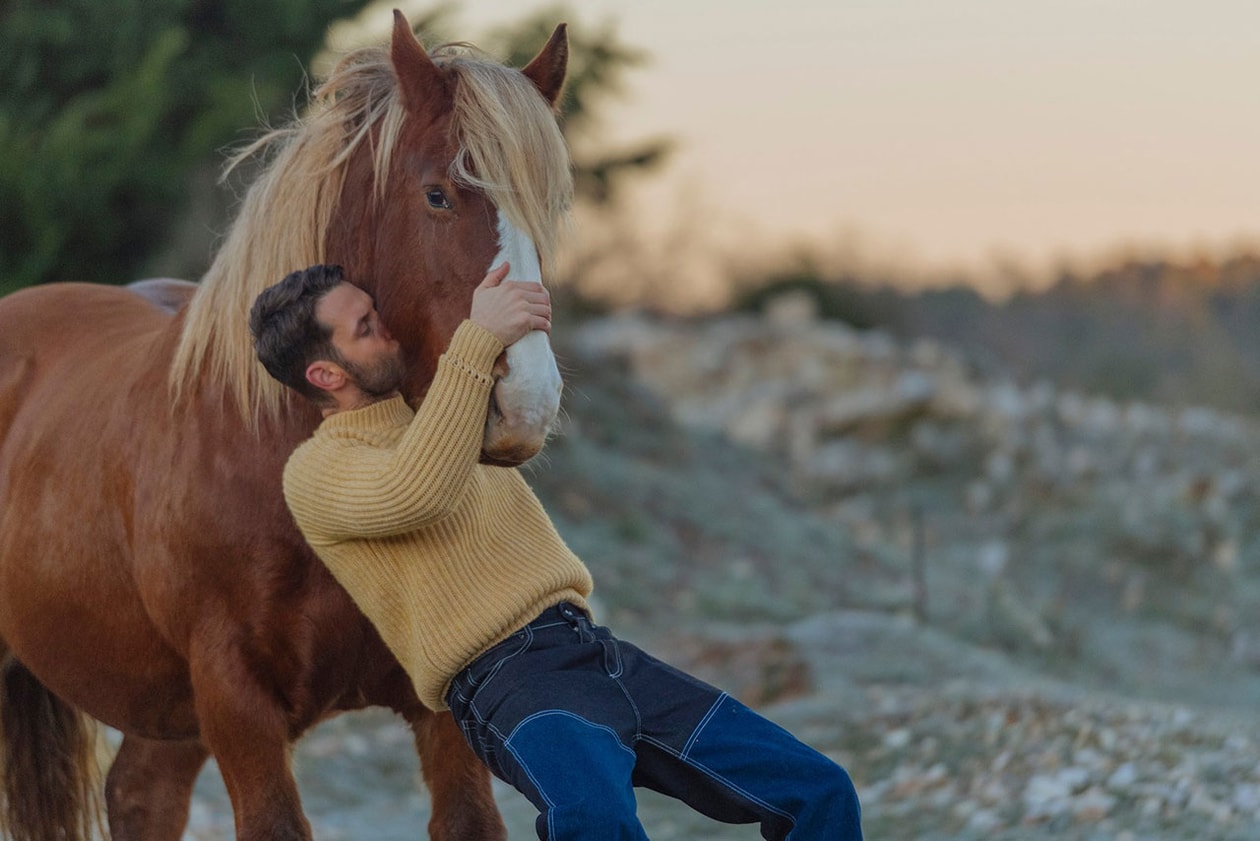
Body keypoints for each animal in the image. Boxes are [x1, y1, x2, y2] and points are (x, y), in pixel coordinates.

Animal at [0, 13, 572, 841]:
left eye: (550, 212)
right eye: (438, 194)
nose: (525, 402)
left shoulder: (445, 696)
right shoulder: (236, 703)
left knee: (140, 795)